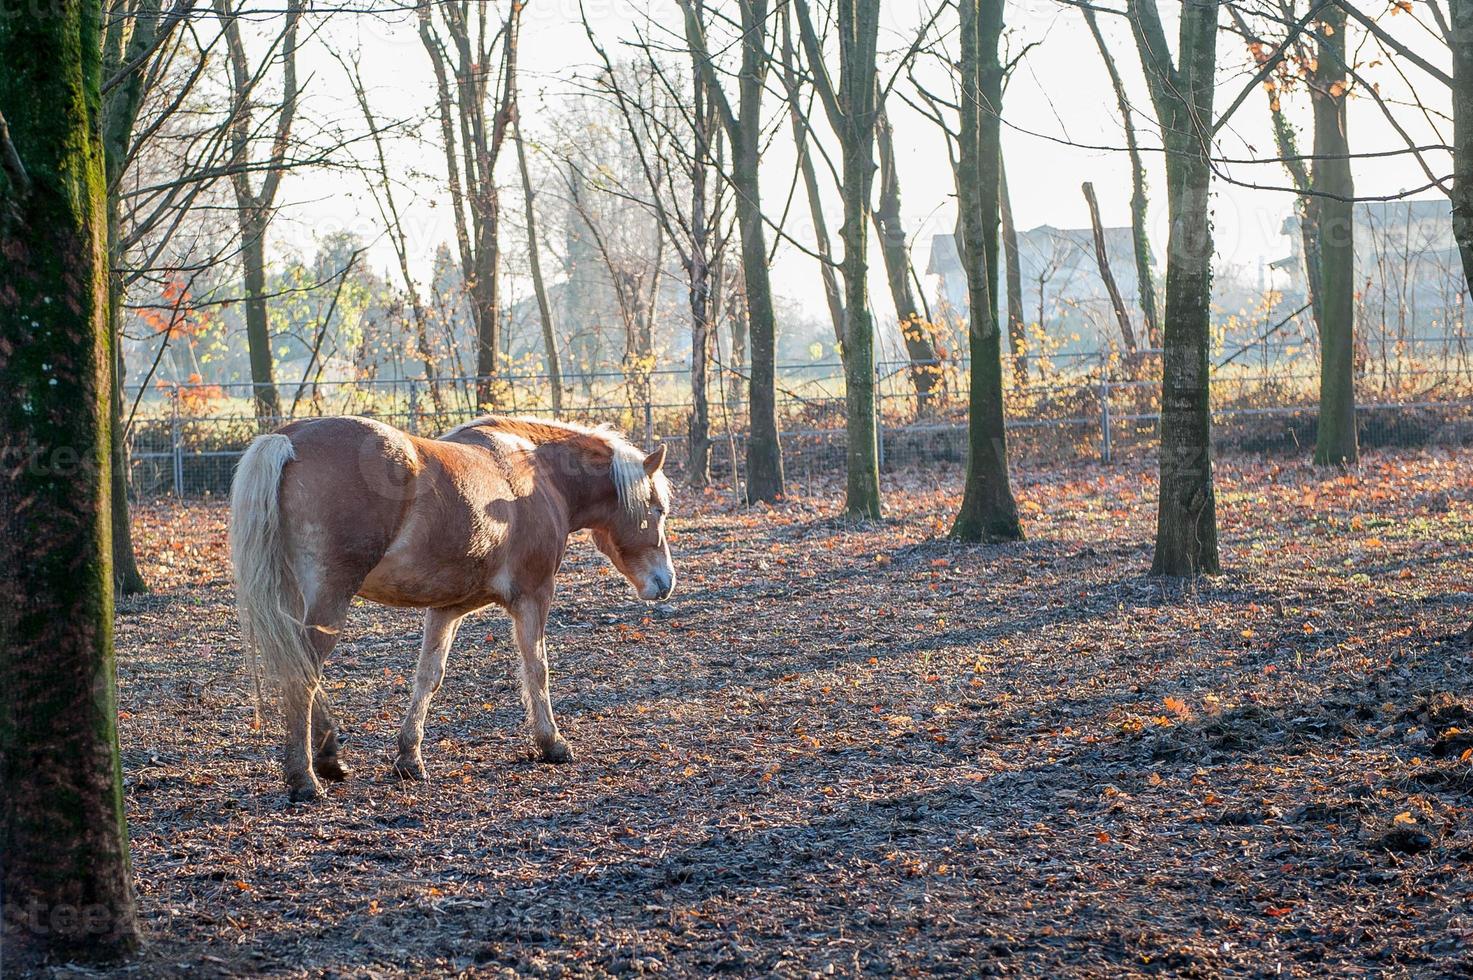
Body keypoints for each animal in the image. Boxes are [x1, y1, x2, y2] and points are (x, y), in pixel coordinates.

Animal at [226, 412, 674, 801]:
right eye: (657, 509)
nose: (665, 582)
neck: (537, 473)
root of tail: (289, 440)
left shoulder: (447, 608)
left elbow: (429, 676)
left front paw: (409, 758)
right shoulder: (534, 596)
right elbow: (537, 668)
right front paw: (552, 743)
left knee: (302, 668)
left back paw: (331, 760)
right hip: (330, 599)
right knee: (303, 676)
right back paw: (305, 779)